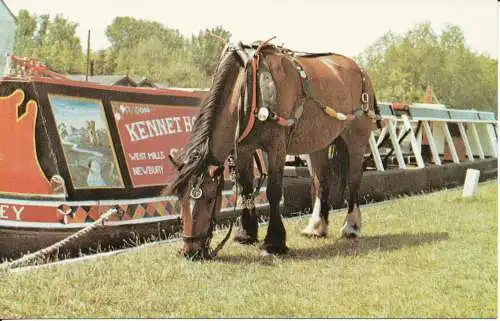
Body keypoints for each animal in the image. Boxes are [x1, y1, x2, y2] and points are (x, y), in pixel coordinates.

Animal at [166, 40, 376, 258]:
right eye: (180, 199)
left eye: (209, 199)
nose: (191, 251)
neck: (250, 86)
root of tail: (359, 69)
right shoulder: (244, 149)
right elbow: (246, 190)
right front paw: (246, 234)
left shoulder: (276, 147)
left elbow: (273, 192)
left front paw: (274, 242)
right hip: (318, 142)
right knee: (321, 183)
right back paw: (316, 227)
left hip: (356, 139)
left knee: (353, 181)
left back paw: (351, 227)